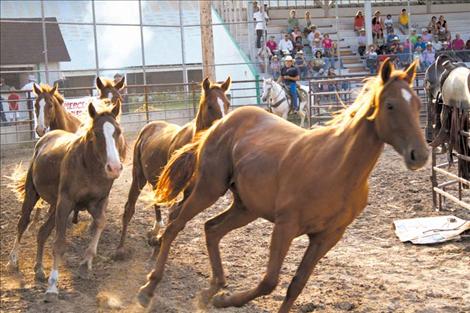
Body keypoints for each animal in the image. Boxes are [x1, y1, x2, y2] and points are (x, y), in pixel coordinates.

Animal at [6, 100, 126, 302]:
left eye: (117, 131)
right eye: (96, 133)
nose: (114, 167)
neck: (88, 166)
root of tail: (46, 137)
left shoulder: (97, 202)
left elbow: (101, 222)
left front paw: (85, 264)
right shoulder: (66, 203)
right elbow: (59, 244)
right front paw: (53, 286)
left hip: (54, 205)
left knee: (42, 232)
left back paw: (39, 269)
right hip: (34, 194)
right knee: (23, 223)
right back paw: (13, 260)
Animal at [114, 77, 231, 258]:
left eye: (227, 104)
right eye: (210, 106)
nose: (224, 126)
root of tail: (148, 127)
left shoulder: (190, 191)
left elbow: (176, 215)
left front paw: (157, 241)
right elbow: (173, 214)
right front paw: (157, 244)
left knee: (156, 200)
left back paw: (155, 231)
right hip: (138, 176)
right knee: (130, 208)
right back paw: (120, 248)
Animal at [137, 59, 430, 310]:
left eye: (417, 104)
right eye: (390, 105)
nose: (420, 154)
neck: (338, 169)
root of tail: (220, 124)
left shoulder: (327, 237)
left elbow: (296, 286)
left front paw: (222, 297)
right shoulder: (285, 227)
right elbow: (270, 281)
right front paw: (226, 300)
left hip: (246, 207)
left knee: (211, 229)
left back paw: (212, 289)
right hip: (209, 188)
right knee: (176, 224)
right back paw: (149, 287)